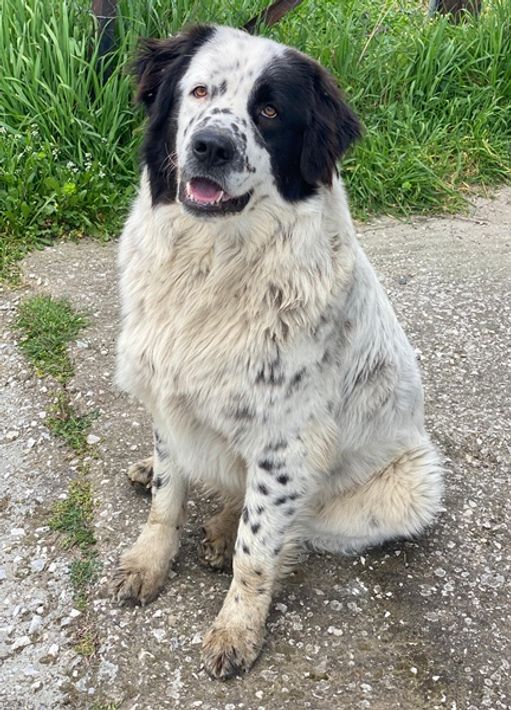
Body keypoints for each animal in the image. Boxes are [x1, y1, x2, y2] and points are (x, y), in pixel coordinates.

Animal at [113, 24, 444, 679]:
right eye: (199, 91)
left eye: (269, 113)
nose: (211, 145)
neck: (213, 264)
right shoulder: (167, 390)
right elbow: (167, 497)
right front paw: (149, 560)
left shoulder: (287, 441)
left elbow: (257, 547)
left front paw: (237, 628)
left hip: (412, 484)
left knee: (285, 518)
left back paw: (223, 529)